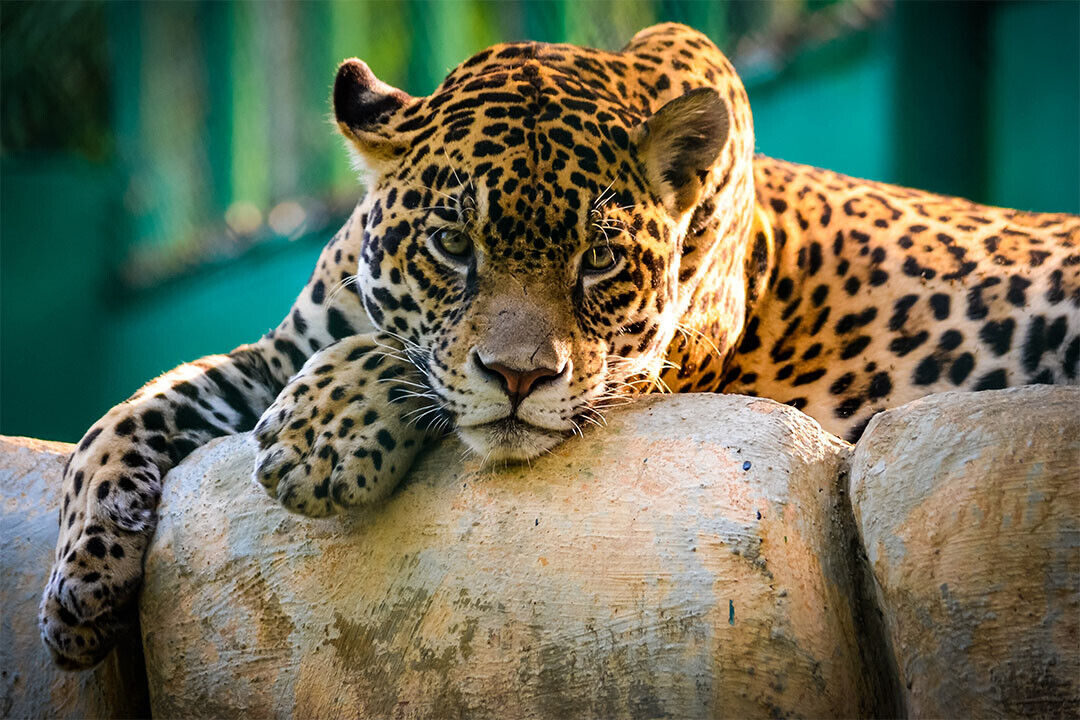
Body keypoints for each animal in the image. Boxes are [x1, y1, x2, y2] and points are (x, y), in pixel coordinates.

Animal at [40, 22, 1079, 670]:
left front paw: (320, 438)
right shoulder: (279, 347)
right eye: (453, 244)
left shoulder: (656, 368)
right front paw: (77, 589)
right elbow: (126, 414)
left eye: (601, 258)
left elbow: (409, 363)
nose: (521, 377)